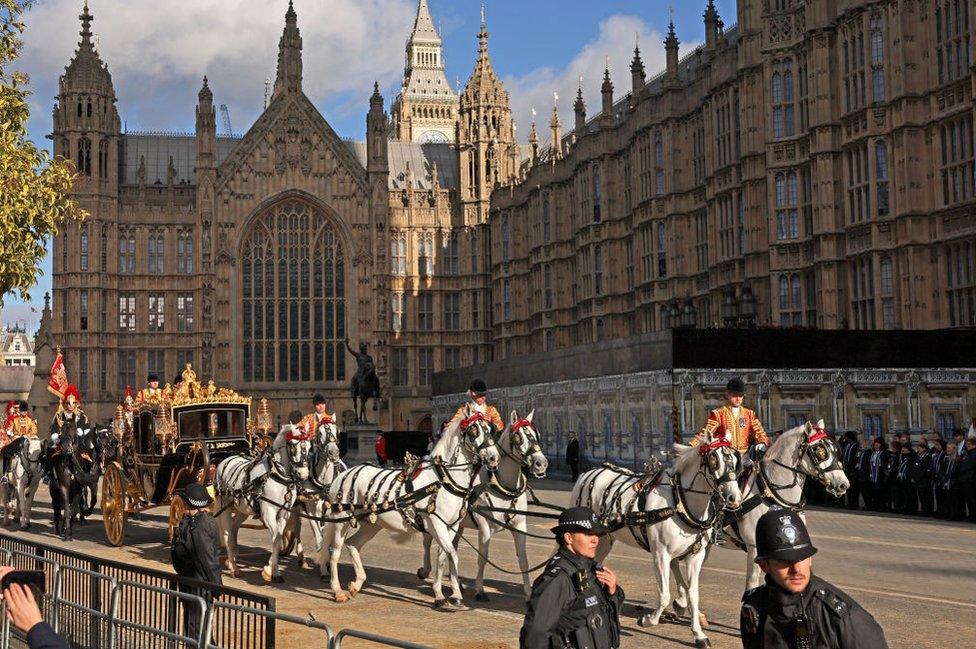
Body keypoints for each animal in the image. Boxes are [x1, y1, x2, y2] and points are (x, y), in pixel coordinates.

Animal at [216, 420, 312, 584]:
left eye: (310, 447)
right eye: (293, 447)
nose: (304, 474)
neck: (278, 476)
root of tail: (226, 460)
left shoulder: (284, 513)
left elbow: (278, 538)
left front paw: (272, 569)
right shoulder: (268, 511)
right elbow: (276, 539)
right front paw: (272, 572)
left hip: (243, 509)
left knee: (234, 529)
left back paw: (232, 559)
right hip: (225, 508)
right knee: (228, 533)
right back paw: (234, 568)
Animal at [320, 408, 500, 612]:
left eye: (490, 429)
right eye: (474, 430)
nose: (494, 457)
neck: (442, 480)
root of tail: (343, 474)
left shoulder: (450, 526)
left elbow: (443, 556)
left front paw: (446, 594)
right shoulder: (436, 523)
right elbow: (453, 555)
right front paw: (450, 595)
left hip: (372, 524)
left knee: (352, 544)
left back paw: (357, 583)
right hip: (341, 520)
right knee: (335, 551)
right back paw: (337, 590)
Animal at [416, 408, 544, 600]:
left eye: (536, 434)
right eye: (518, 436)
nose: (541, 463)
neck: (503, 486)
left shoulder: (520, 525)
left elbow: (523, 559)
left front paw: (528, 593)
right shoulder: (484, 525)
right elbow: (483, 557)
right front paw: (480, 590)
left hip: (457, 524)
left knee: (450, 548)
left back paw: (456, 584)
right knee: (428, 543)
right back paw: (426, 571)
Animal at [568, 438, 744, 644]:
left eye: (736, 460)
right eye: (714, 460)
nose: (734, 498)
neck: (680, 503)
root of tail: (587, 474)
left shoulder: (695, 556)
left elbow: (693, 594)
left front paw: (698, 633)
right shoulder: (661, 555)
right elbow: (664, 595)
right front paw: (648, 620)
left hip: (604, 541)